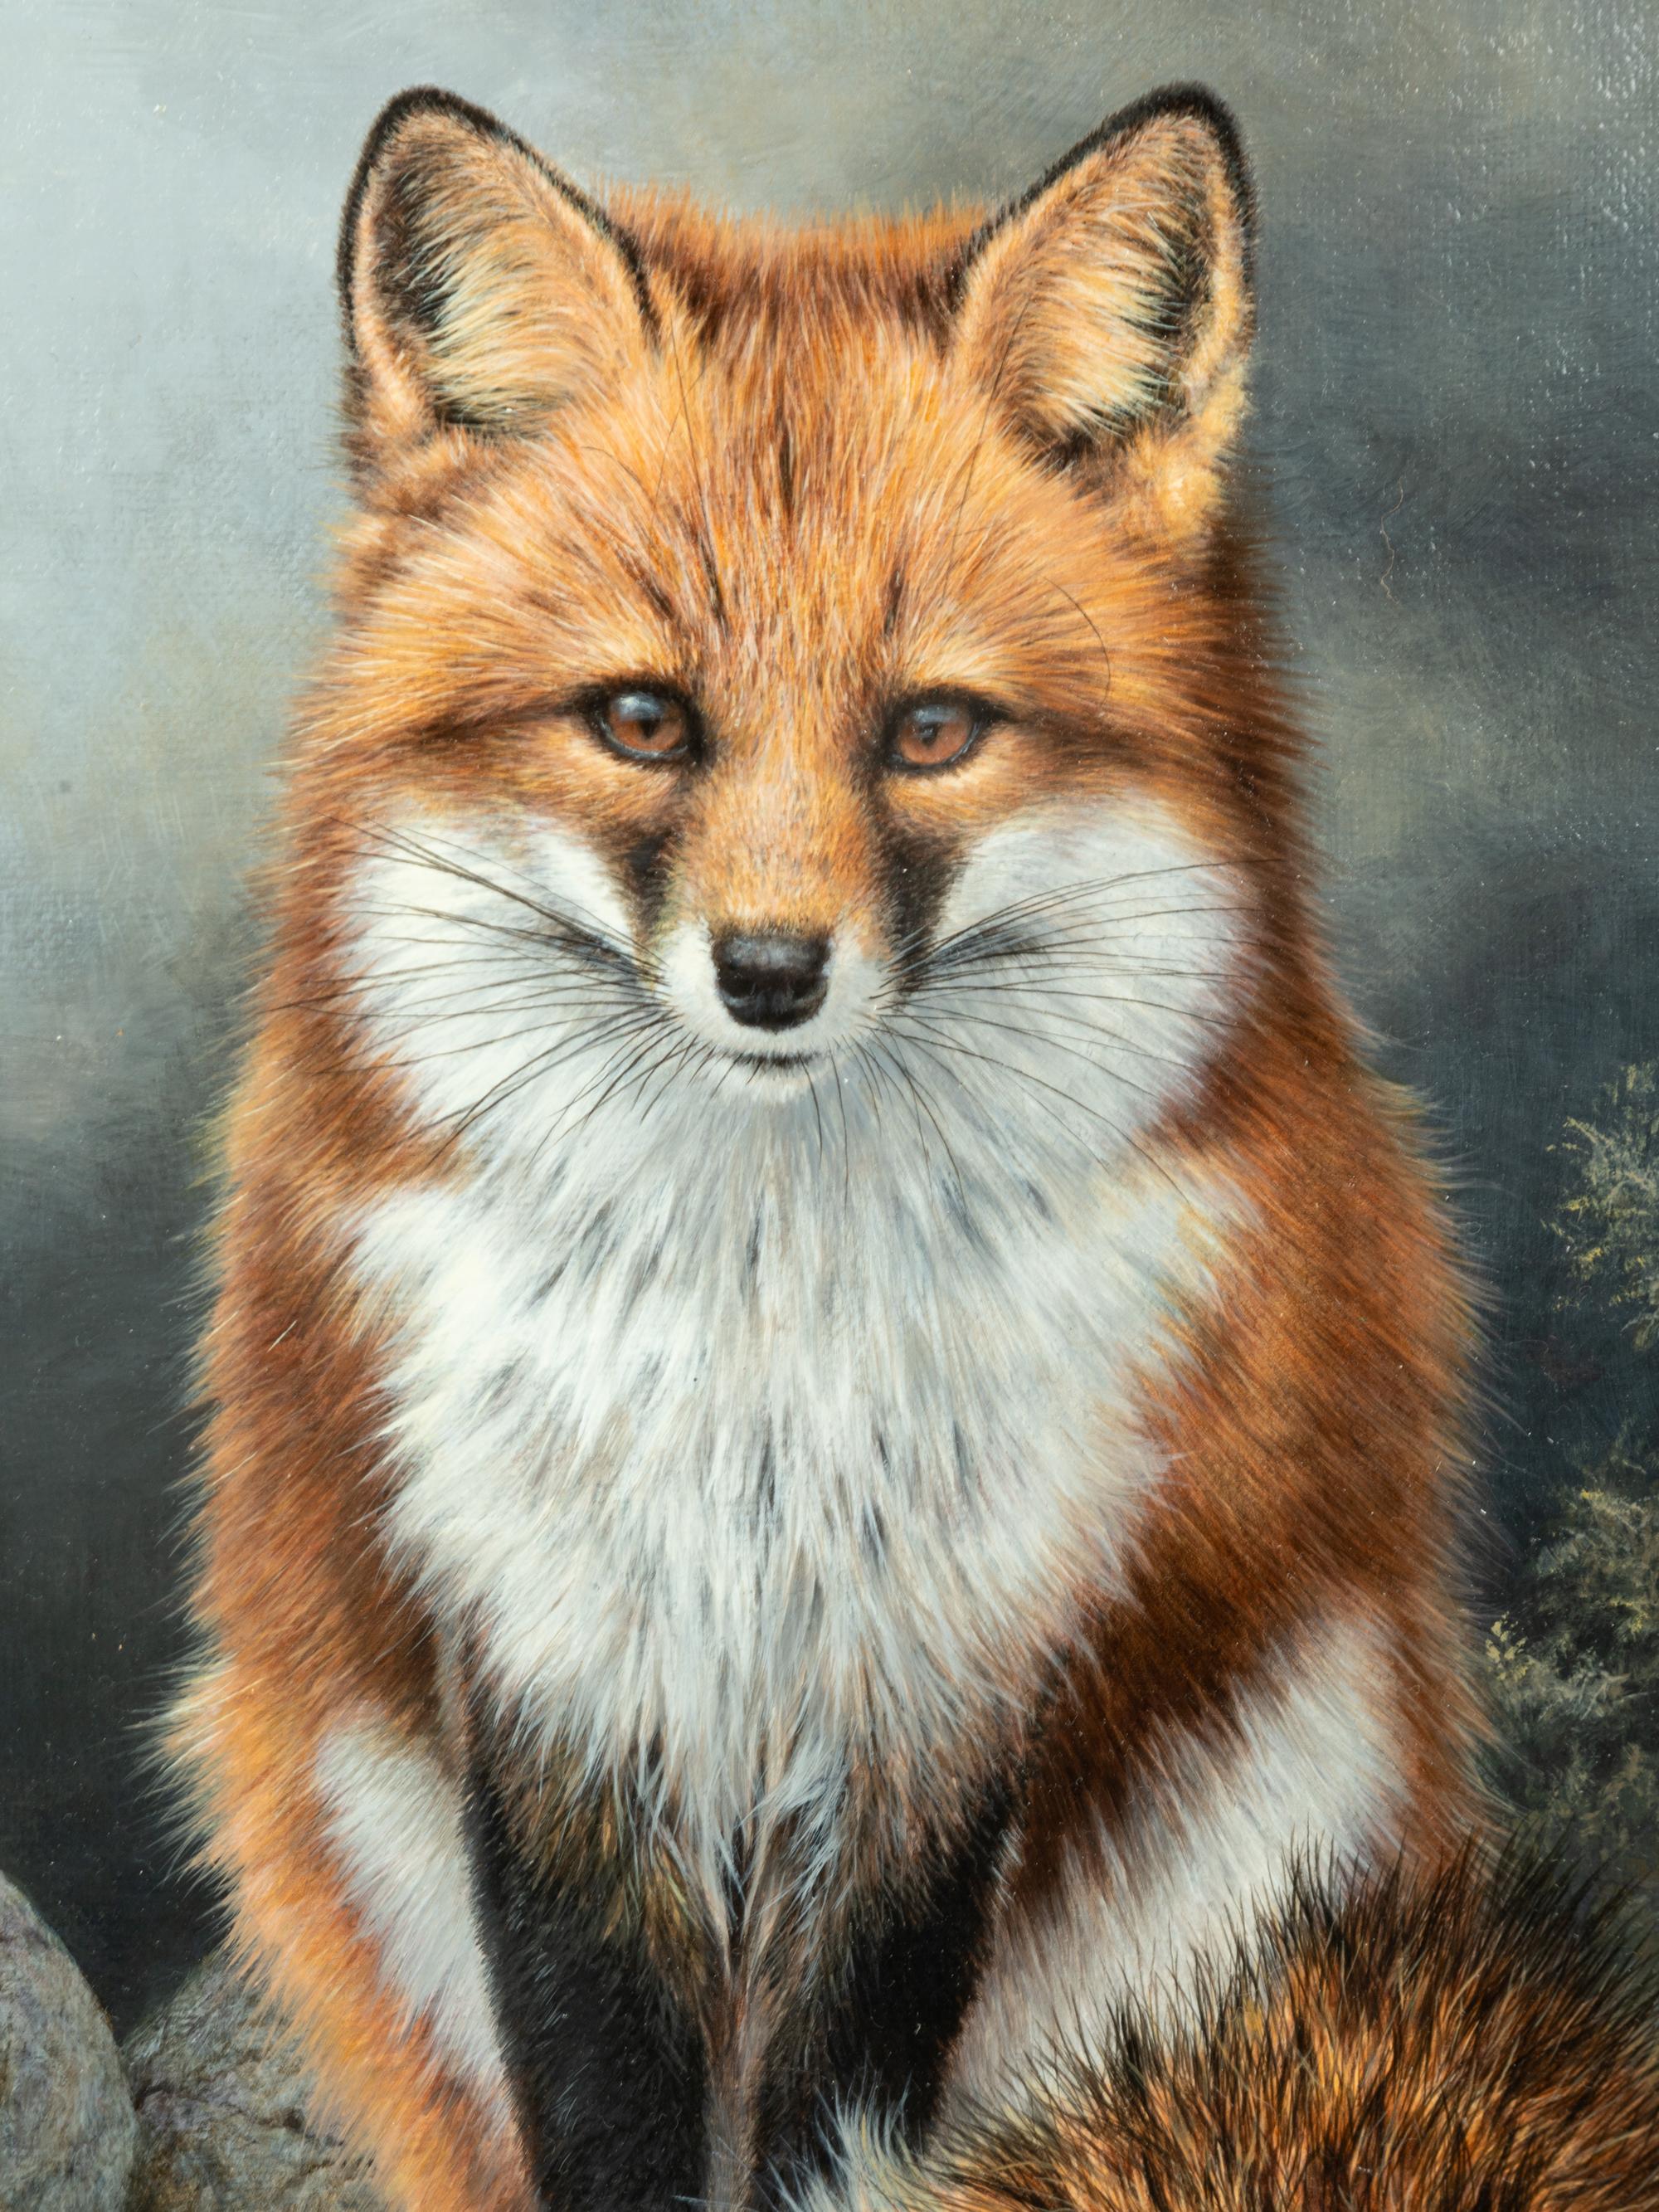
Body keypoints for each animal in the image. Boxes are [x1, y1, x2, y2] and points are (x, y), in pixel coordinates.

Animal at [174, 78, 1509, 2212]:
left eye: (930, 731)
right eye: (642, 720)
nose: (770, 975)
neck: (764, 1349)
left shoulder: (946, 1696)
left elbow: (837, 2103)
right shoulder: (552, 1679)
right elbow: (600, 2100)